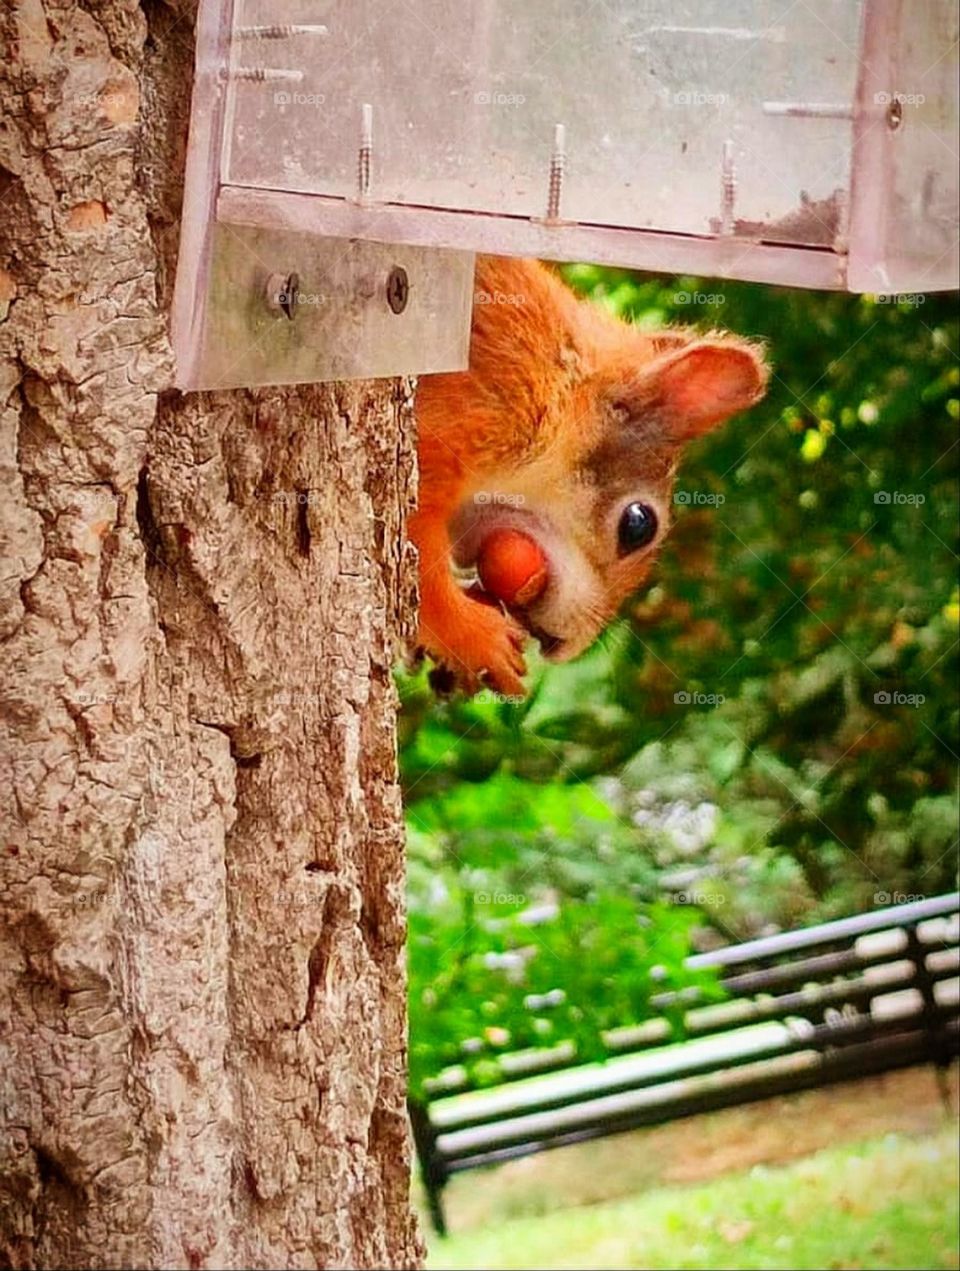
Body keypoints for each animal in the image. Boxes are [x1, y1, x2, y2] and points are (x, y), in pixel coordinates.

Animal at [409, 254, 768, 701]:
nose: (565, 645)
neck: (563, 392)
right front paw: (476, 638)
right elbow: (419, 546)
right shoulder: (479, 408)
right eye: (638, 524)